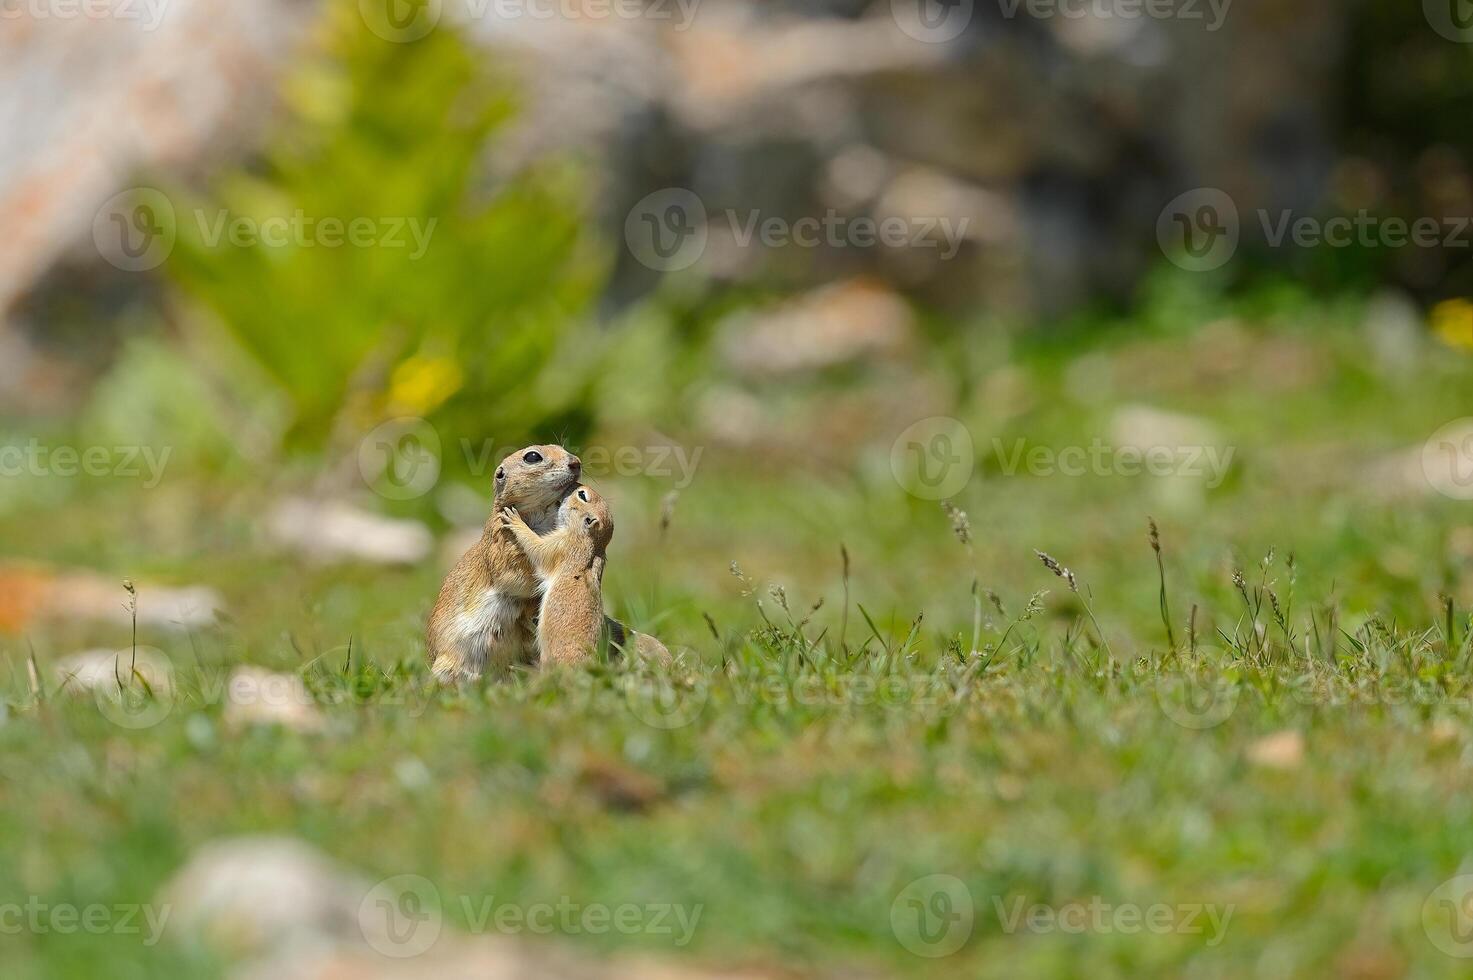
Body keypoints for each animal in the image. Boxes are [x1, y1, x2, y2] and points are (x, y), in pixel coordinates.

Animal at [494, 486, 609, 669]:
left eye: (582, 495)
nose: (575, 483)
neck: (592, 542)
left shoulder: (561, 544)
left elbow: (538, 548)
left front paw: (514, 519)